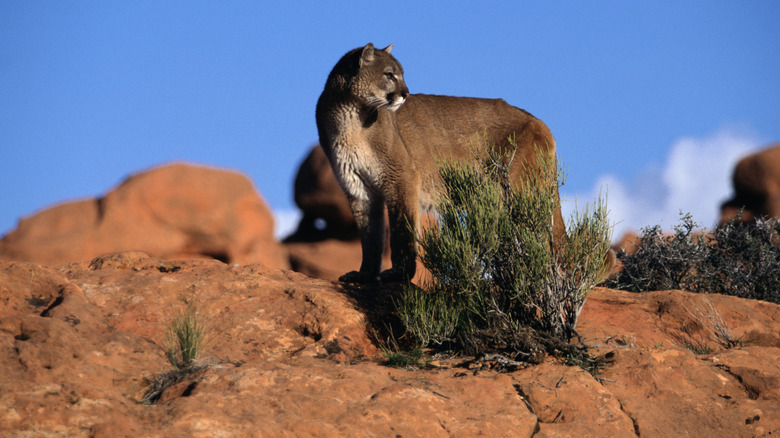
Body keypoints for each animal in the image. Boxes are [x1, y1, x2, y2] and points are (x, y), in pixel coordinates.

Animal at [316, 43, 568, 284]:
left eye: (401, 74)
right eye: (389, 74)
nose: (406, 94)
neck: (350, 117)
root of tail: (538, 121)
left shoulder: (401, 177)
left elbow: (401, 232)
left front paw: (399, 273)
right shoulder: (358, 188)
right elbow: (370, 239)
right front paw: (364, 275)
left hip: (518, 192)